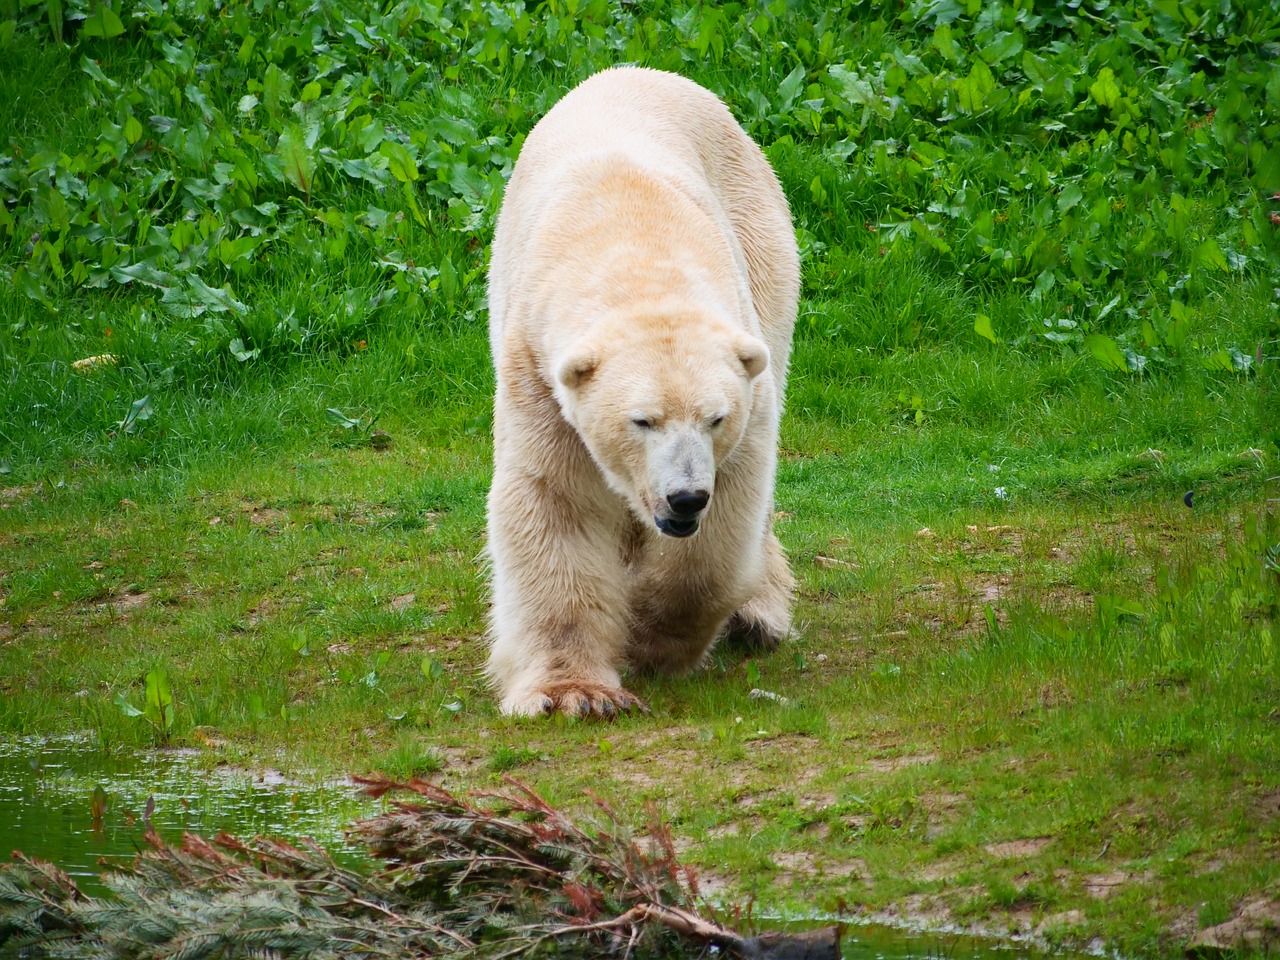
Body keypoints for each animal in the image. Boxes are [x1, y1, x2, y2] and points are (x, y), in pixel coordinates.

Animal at [481, 65, 793, 716]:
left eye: (715, 419)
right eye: (641, 420)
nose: (684, 499)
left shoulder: (747, 379)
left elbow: (728, 516)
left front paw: (651, 637)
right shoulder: (536, 373)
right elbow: (555, 501)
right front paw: (574, 693)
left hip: (766, 246)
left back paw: (758, 617)